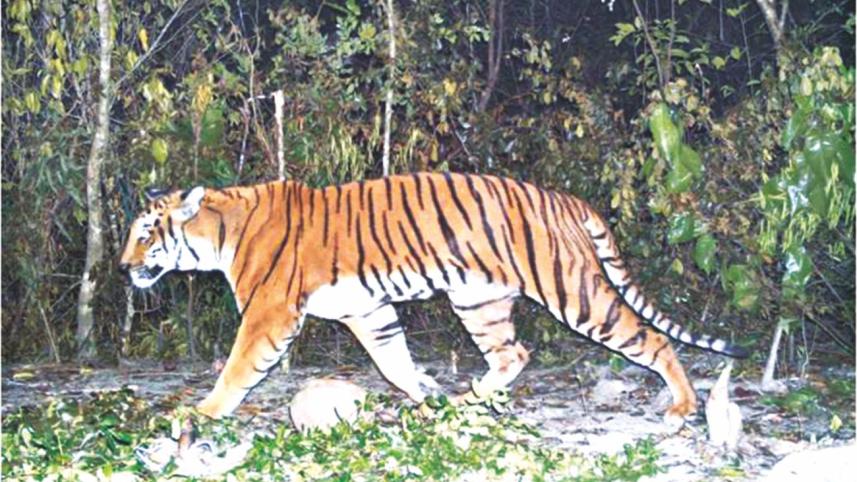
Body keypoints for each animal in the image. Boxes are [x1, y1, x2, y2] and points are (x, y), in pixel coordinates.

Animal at [119, 172, 747, 426]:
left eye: (146, 233)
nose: (124, 267)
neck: (218, 233)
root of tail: (566, 198)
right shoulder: (367, 309)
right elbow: (394, 362)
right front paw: (426, 394)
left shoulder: (269, 314)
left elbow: (236, 368)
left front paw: (202, 412)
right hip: (479, 300)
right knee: (513, 354)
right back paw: (465, 400)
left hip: (575, 293)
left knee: (652, 339)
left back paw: (683, 406)